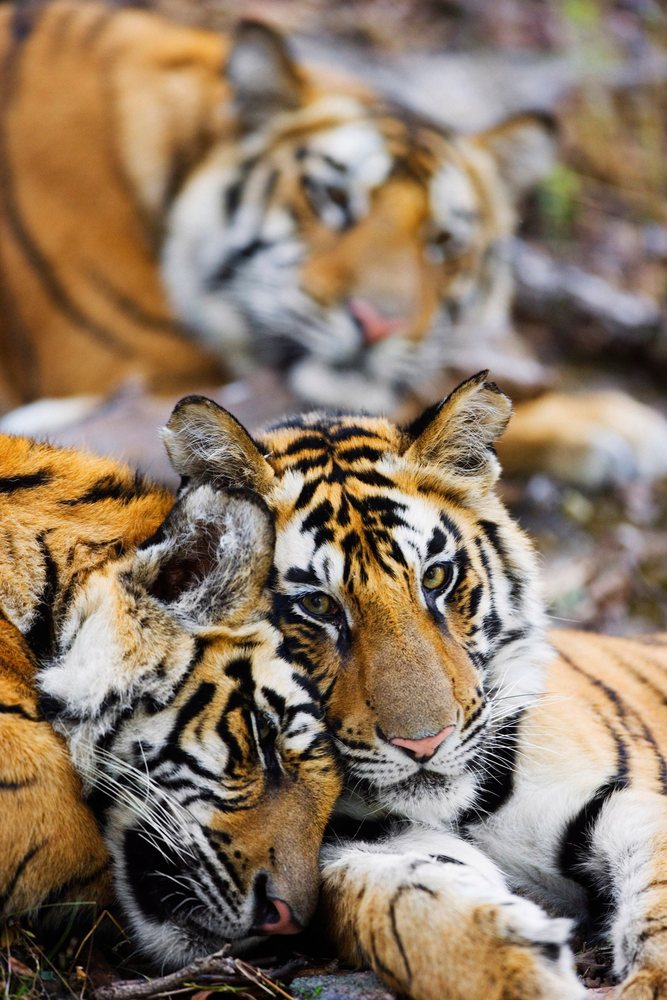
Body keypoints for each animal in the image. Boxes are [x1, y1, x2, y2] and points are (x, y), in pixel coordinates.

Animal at [162, 378, 667, 999]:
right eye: (318, 605)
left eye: (436, 578)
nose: (424, 744)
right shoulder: (356, 849)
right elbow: (402, 902)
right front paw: (518, 971)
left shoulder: (627, 803)